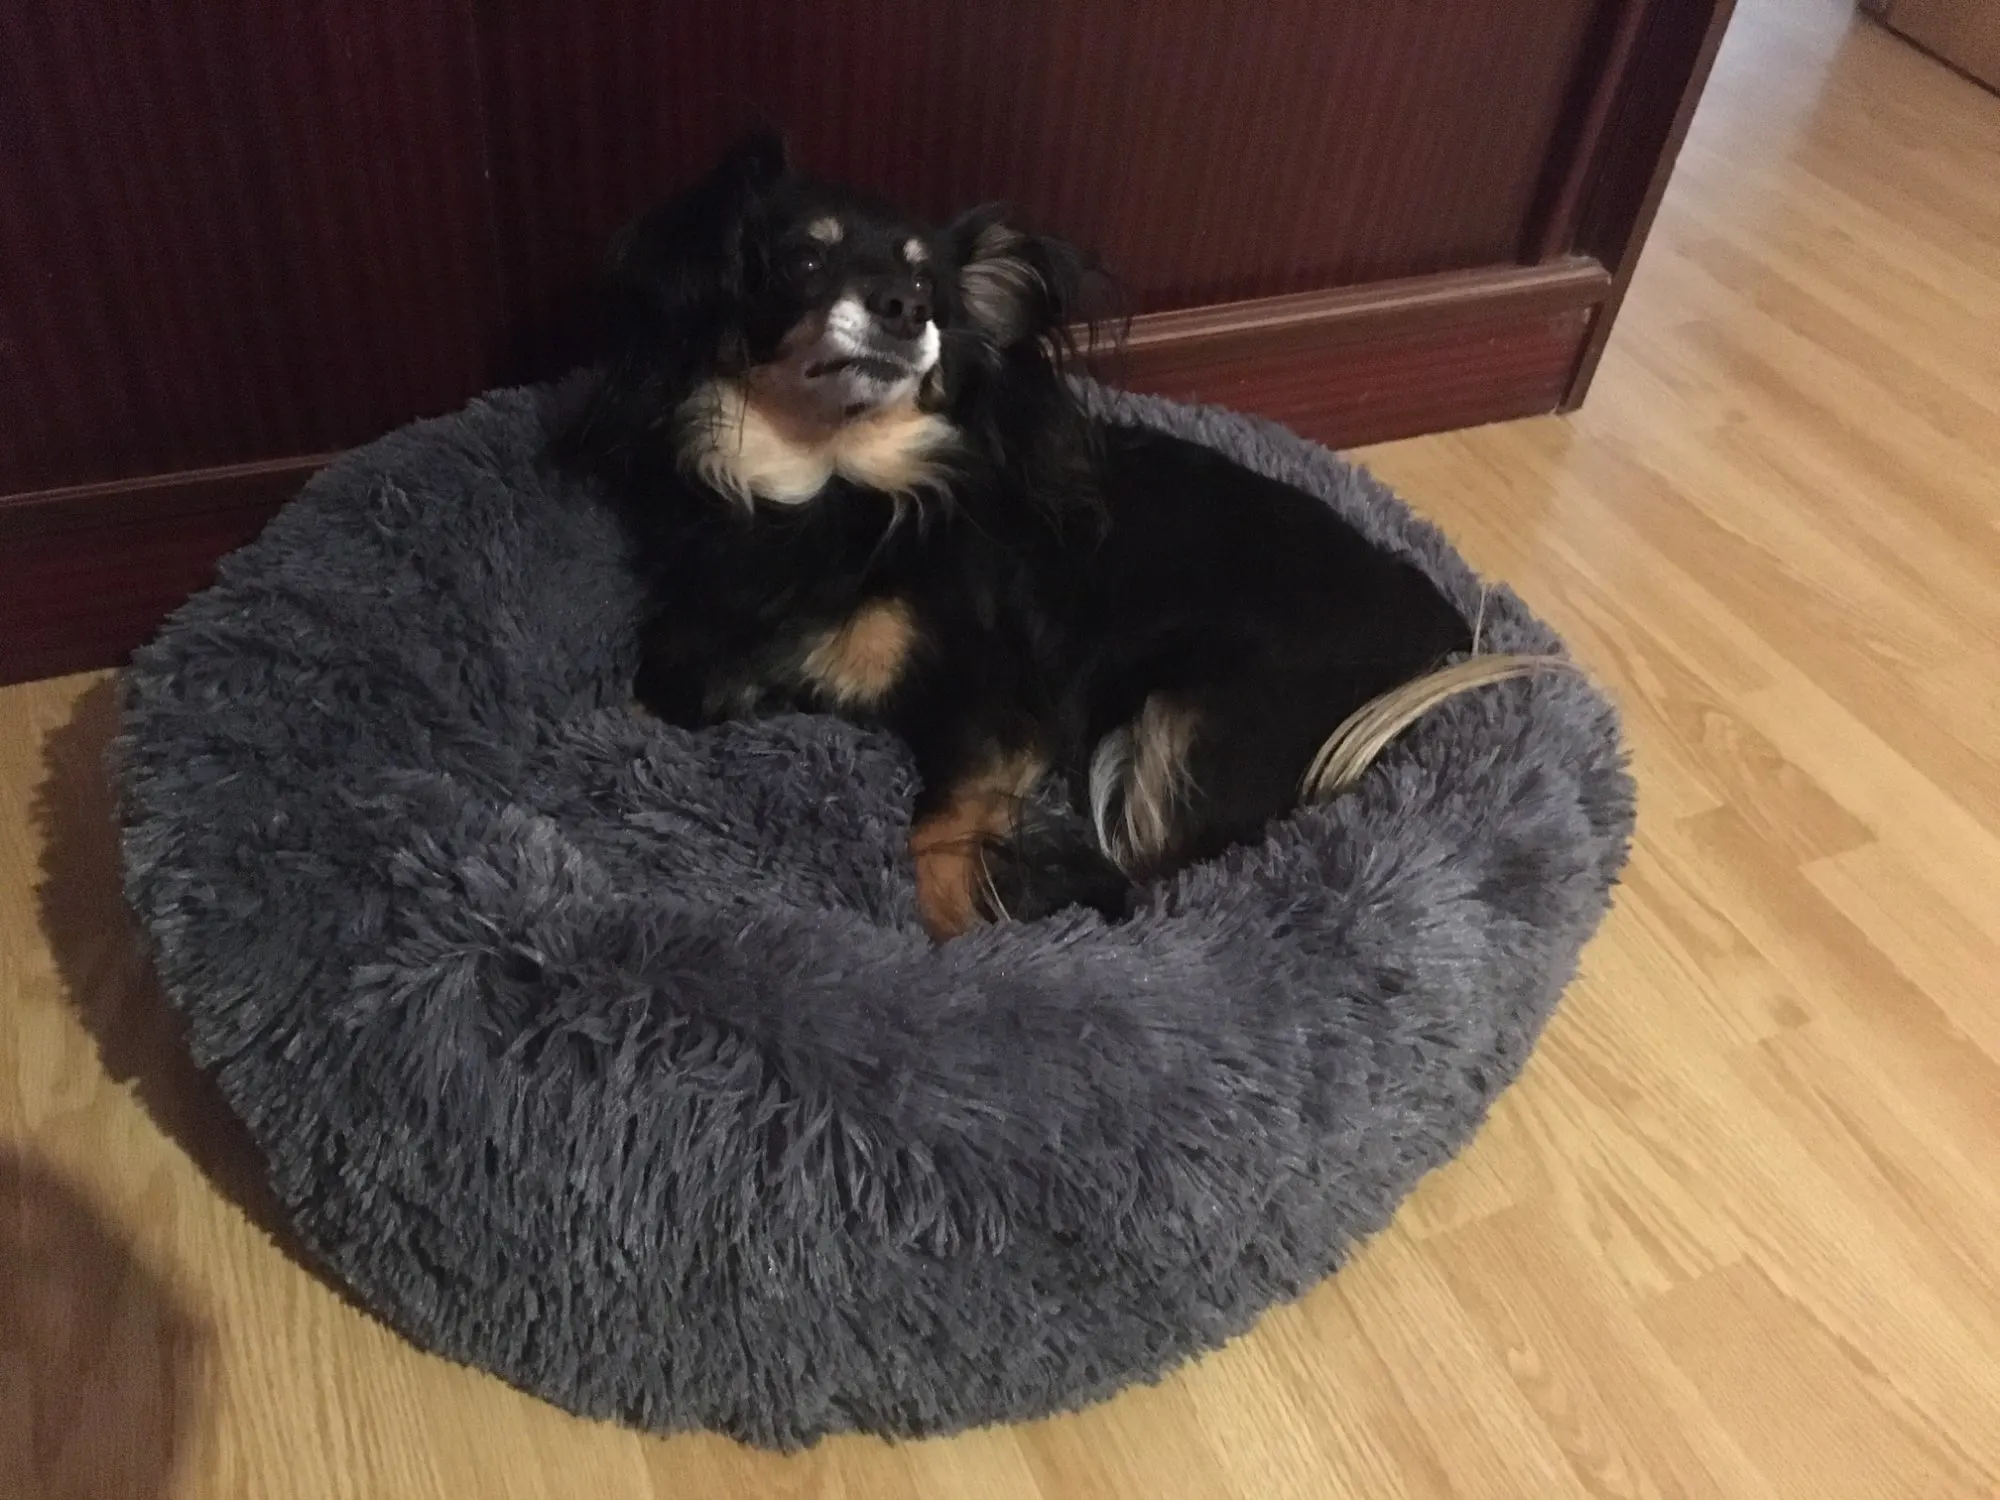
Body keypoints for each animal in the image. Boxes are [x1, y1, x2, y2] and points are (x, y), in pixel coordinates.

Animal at [556, 133, 1496, 941]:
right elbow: (654, 696)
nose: (905, 309)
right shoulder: (697, 650)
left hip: (1184, 732)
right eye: (805, 261)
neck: (832, 485)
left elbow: (935, 846)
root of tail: (1440, 629)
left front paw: (990, 933)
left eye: (929, 289)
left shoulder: (1007, 709)